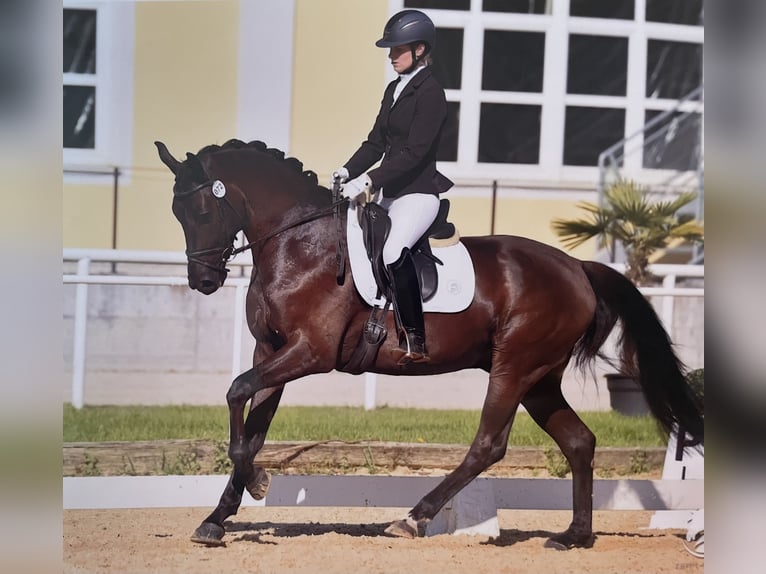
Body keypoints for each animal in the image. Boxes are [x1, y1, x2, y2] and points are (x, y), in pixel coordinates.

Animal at [156, 138, 708, 548]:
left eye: (201, 209)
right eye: (175, 212)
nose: (203, 281)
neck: (299, 243)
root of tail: (576, 266)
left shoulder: (309, 353)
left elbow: (235, 393)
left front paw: (257, 483)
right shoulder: (271, 353)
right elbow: (250, 429)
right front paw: (217, 517)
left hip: (514, 368)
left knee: (489, 445)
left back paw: (413, 518)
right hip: (539, 380)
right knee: (579, 441)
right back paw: (574, 535)